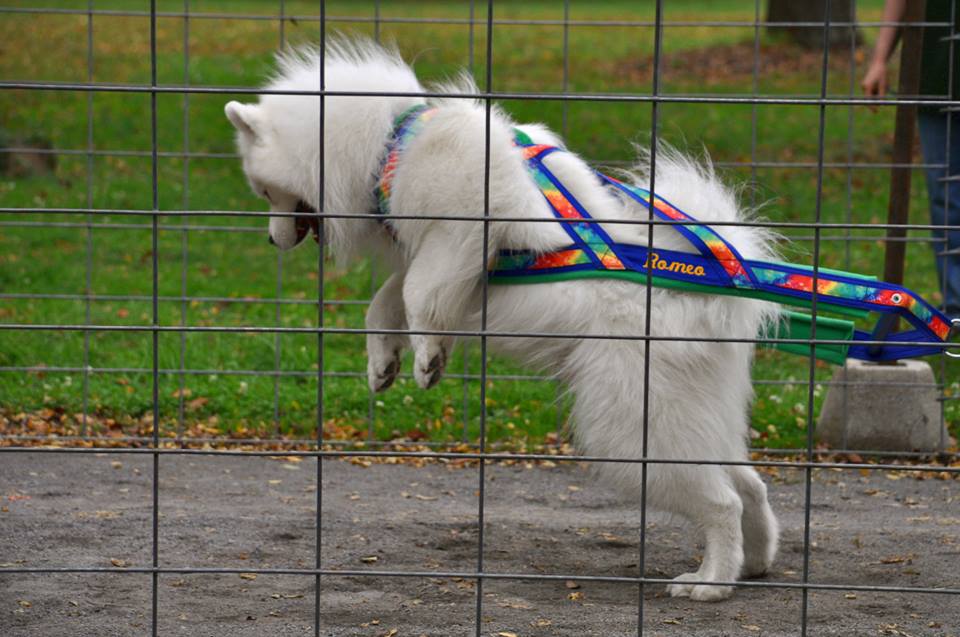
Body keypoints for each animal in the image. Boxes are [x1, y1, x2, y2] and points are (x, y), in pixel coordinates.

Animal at [225, 39, 780, 600]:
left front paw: (428, 358)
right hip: (692, 416)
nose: (271, 240)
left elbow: (419, 293)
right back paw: (753, 564)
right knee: (749, 486)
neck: (390, 140)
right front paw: (384, 363)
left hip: (634, 430)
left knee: (722, 502)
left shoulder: (463, 228)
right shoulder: (434, 255)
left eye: (266, 191)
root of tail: (716, 293)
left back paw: (711, 583)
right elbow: (386, 301)